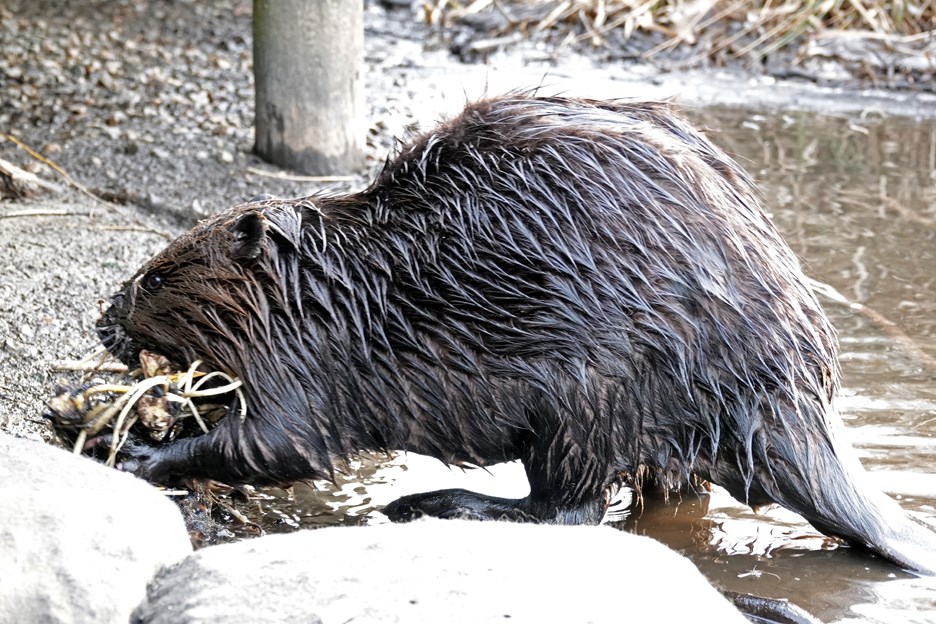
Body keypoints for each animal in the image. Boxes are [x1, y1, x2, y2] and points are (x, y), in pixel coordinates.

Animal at [97, 91, 936, 572]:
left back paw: (431, 502)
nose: (105, 321)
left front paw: (144, 451)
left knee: (569, 507)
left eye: (158, 277)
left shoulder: (311, 362)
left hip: (589, 395)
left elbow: (280, 444)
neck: (333, 285)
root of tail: (795, 402)